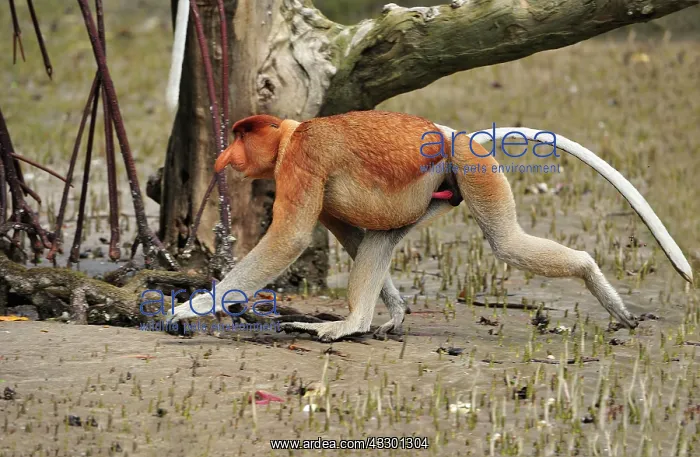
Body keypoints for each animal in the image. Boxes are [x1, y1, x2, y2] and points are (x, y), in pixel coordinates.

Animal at [166, 111, 693, 342]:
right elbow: (353, 237)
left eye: (241, 136)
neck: (291, 134)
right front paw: (396, 310)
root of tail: (457, 134)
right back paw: (367, 321)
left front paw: (188, 308)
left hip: (473, 169)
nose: (225, 155)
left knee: (506, 244)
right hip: (432, 194)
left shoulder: (303, 162)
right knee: (381, 240)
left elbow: (289, 239)